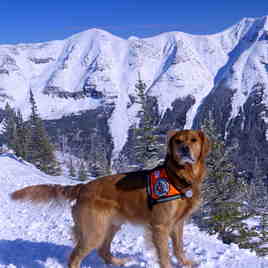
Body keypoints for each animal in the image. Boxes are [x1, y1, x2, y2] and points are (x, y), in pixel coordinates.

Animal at [11, 129, 210, 266]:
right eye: (177, 141)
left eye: (193, 140)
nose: (184, 149)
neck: (177, 177)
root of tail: (83, 186)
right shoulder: (160, 226)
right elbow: (165, 255)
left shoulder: (178, 223)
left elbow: (178, 247)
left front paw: (186, 263)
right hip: (94, 231)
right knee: (75, 257)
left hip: (110, 225)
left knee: (103, 250)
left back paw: (118, 262)